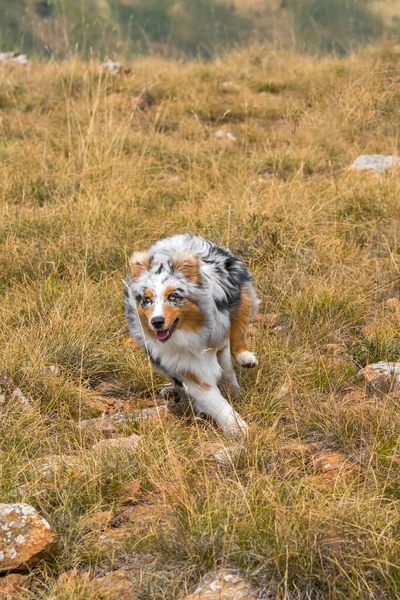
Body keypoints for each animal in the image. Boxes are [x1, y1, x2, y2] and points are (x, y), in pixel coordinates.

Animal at [124, 234, 260, 436]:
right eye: (147, 299)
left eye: (173, 297)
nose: (156, 321)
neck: (186, 334)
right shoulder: (182, 364)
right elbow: (211, 398)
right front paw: (238, 428)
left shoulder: (219, 338)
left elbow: (227, 368)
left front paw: (235, 393)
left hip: (241, 295)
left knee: (239, 329)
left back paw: (245, 357)